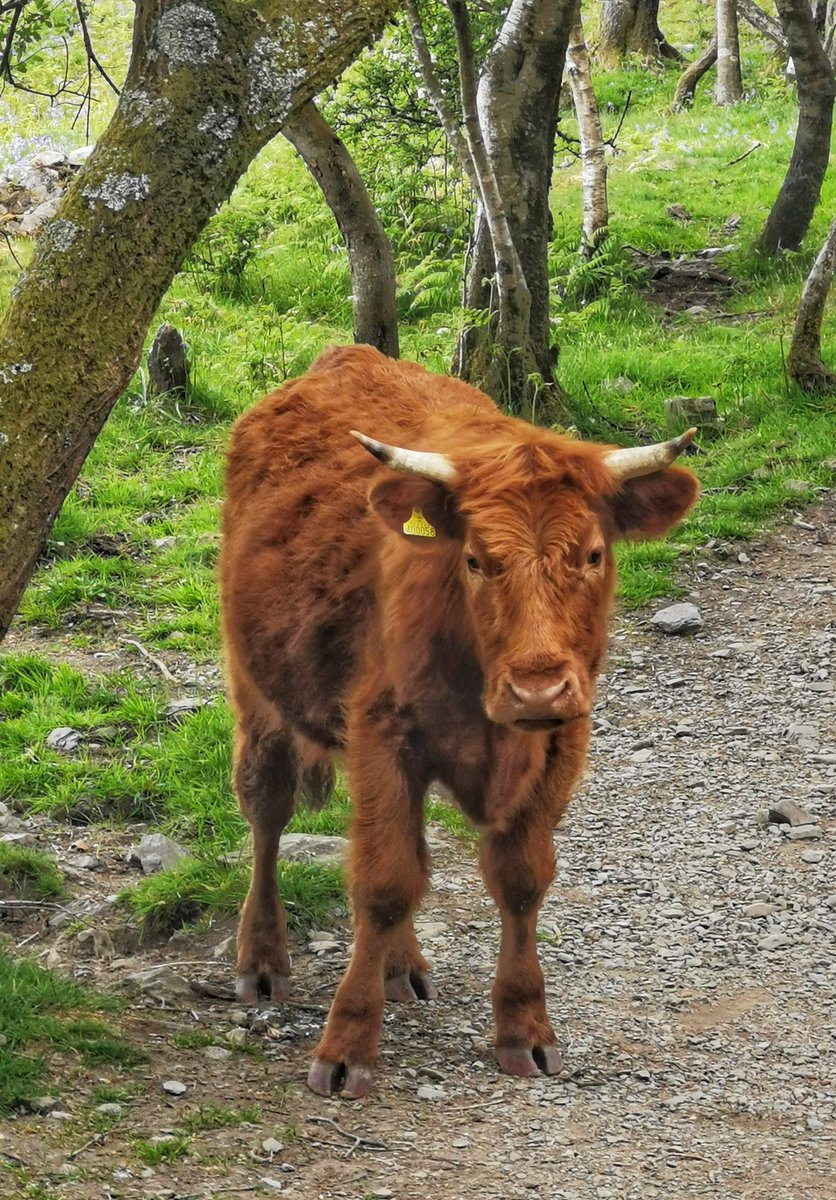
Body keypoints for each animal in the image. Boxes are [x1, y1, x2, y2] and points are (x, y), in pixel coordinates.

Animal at [217, 345, 695, 1099]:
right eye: (474, 559)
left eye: (593, 554)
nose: (537, 687)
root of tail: (344, 355)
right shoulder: (383, 735)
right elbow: (383, 883)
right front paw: (347, 1043)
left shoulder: (561, 743)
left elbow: (519, 878)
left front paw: (525, 1028)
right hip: (258, 697)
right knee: (268, 815)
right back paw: (263, 962)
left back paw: (400, 965)